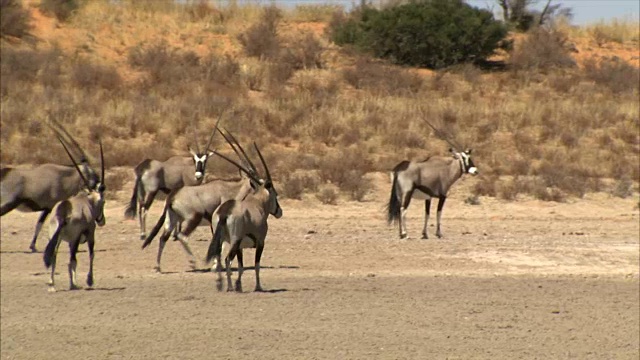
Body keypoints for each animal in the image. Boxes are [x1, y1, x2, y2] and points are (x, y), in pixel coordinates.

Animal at [0, 119, 100, 252]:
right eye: (89, 171)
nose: (100, 184)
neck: (63, 178)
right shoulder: (49, 207)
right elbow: (41, 225)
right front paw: (34, 247)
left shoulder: (47, 208)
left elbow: (39, 224)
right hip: (7, 204)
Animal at [43, 136, 105, 292]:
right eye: (104, 202)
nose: (101, 221)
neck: (87, 201)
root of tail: (62, 211)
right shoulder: (89, 234)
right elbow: (91, 255)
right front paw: (89, 280)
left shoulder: (70, 241)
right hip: (75, 238)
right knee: (72, 259)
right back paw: (72, 284)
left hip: (56, 237)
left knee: (54, 255)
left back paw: (52, 284)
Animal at [141, 128, 258, 272]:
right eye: (255, 182)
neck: (230, 189)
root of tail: (172, 197)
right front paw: (216, 264)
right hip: (193, 218)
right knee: (182, 236)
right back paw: (193, 262)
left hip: (172, 219)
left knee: (163, 238)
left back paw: (158, 266)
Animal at [206, 141, 284, 292]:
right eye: (275, 194)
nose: (279, 211)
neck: (258, 203)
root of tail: (224, 211)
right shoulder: (260, 242)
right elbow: (256, 265)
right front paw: (258, 286)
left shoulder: (240, 248)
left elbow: (241, 267)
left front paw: (239, 285)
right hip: (235, 241)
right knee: (227, 259)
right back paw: (229, 287)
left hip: (222, 240)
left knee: (219, 258)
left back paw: (220, 284)